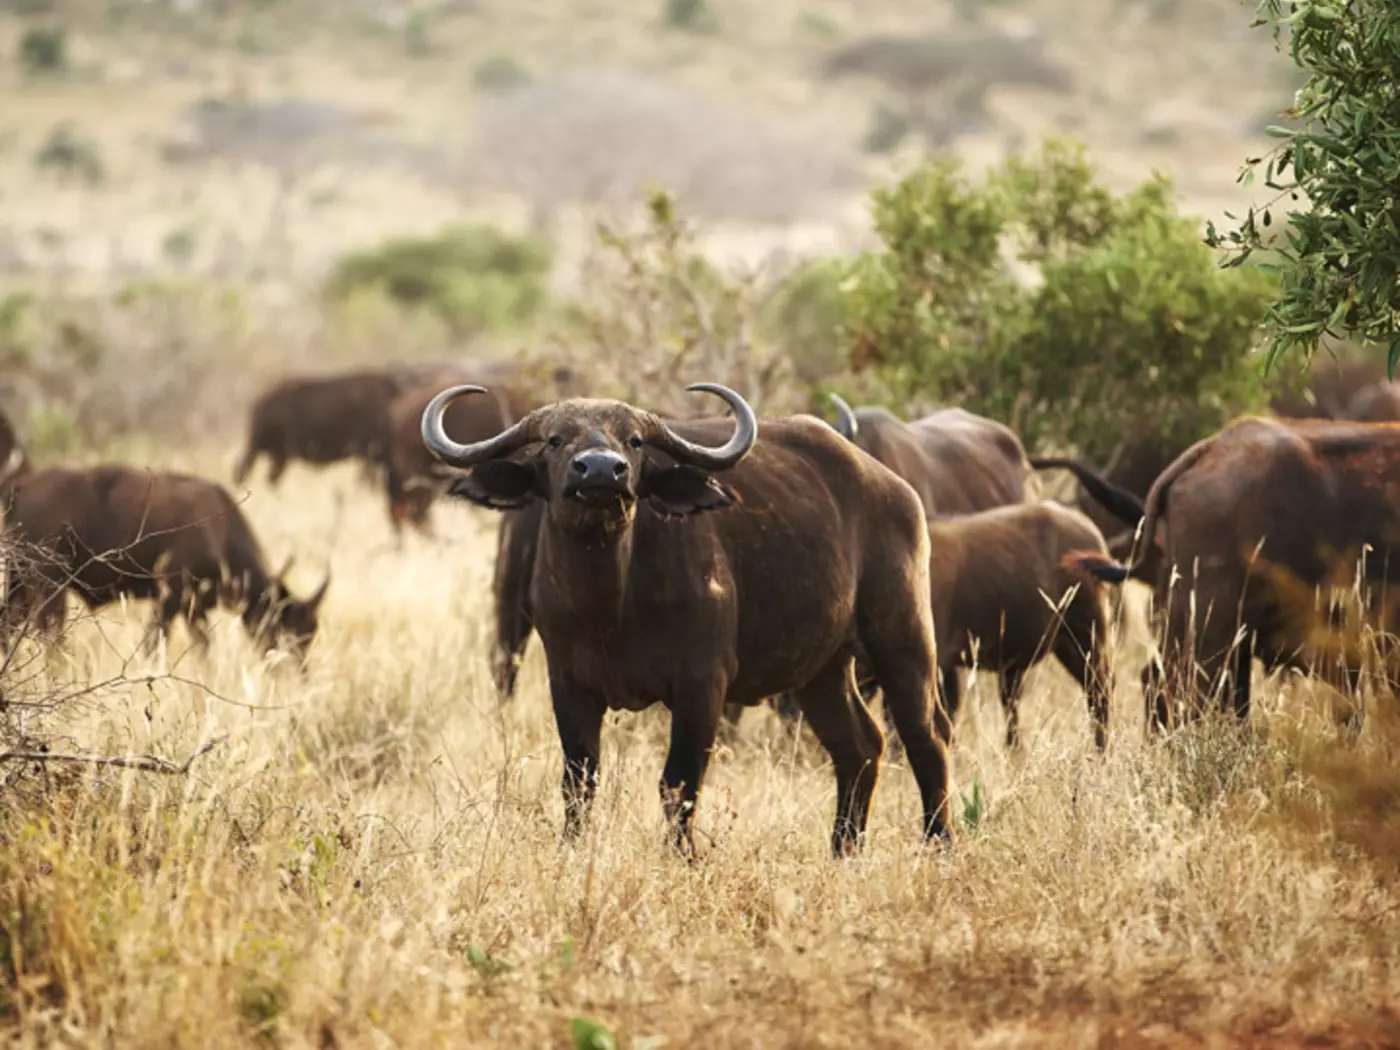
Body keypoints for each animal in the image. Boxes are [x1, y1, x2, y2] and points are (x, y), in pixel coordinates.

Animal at [2, 465, 329, 661]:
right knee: (50, 636)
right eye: (285, 627)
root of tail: (24, 485)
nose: (295, 672)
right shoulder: (170, 597)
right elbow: (154, 643)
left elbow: (203, 649)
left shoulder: (194, 608)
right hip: (49, 589)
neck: (219, 527)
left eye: (311, 635)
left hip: (19, 584)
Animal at [423, 383, 952, 856]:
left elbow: (678, 782)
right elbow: (579, 779)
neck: (609, 607)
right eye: (556, 440)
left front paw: (681, 855)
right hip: (821, 668)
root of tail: (893, 488)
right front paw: (569, 850)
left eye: (634, 441)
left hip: (903, 636)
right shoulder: (568, 682)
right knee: (859, 746)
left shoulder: (702, 683)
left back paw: (938, 842)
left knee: (926, 735)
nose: (601, 470)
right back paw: (843, 847)